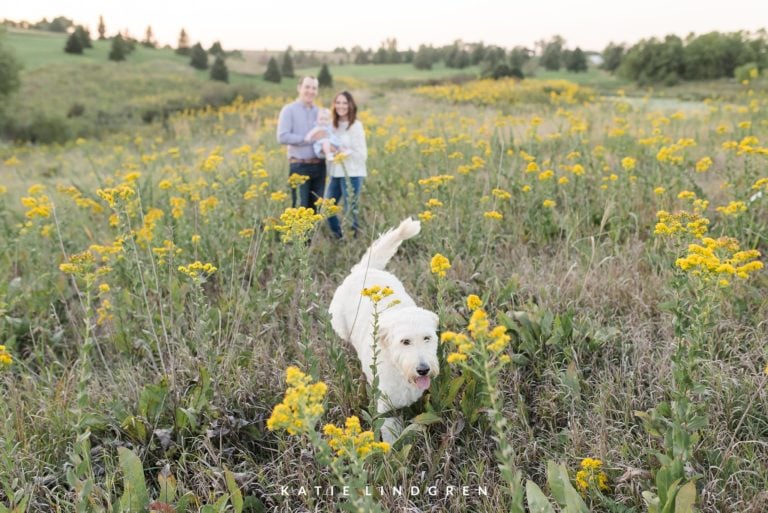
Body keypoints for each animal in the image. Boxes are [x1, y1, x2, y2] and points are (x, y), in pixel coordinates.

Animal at [328, 217, 438, 440]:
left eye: (427, 338)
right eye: (405, 341)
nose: (423, 369)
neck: (398, 367)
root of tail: (363, 270)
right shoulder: (386, 409)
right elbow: (391, 437)